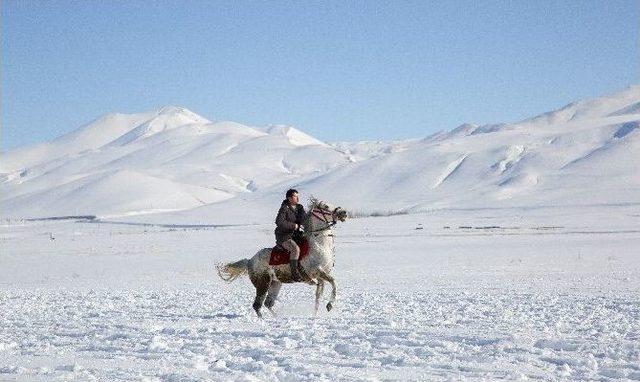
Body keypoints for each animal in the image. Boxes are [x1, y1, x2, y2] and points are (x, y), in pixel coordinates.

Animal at [215, 198, 348, 318]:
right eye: (326, 206)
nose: (344, 213)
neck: (319, 245)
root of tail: (250, 261)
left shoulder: (321, 276)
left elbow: (318, 297)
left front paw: (315, 315)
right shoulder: (317, 271)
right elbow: (334, 281)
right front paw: (330, 305)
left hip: (275, 284)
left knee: (268, 303)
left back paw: (277, 317)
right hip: (263, 284)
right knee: (257, 305)